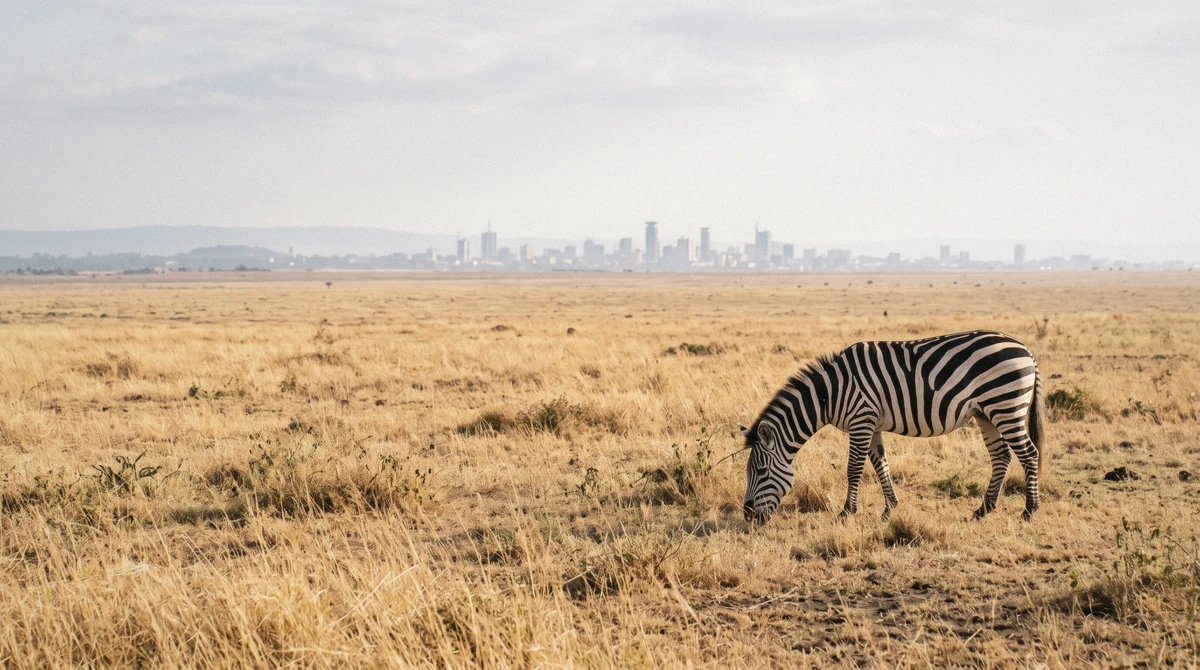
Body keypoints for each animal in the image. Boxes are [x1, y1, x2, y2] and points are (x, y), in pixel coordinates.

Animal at [741, 330, 1045, 524]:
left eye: (761, 471)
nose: (748, 516)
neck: (831, 392)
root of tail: (1026, 350)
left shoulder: (861, 419)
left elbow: (854, 469)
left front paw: (846, 513)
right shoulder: (872, 425)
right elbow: (881, 466)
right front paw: (890, 510)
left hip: (1006, 405)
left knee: (1029, 454)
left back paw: (1030, 511)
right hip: (986, 413)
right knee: (1002, 456)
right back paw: (984, 509)